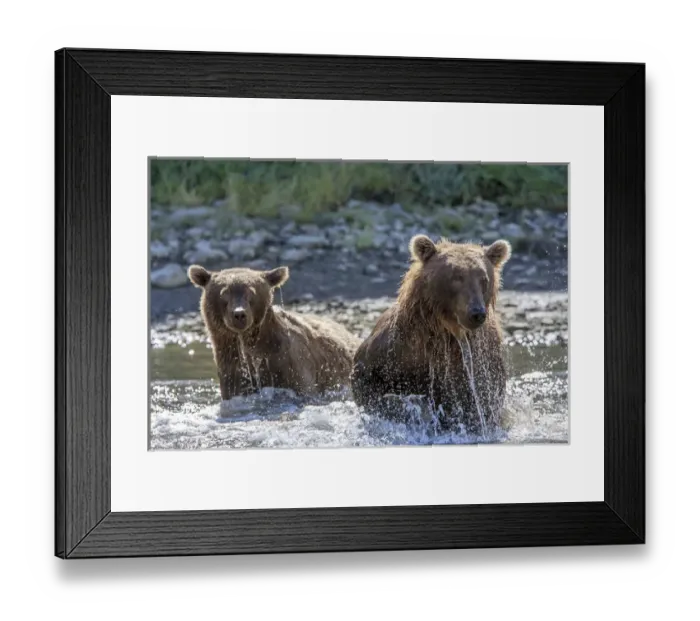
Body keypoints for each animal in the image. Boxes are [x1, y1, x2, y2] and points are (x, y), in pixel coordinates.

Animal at [350, 234, 512, 434]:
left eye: (483, 278)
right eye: (456, 276)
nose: (476, 313)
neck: (445, 332)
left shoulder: (477, 361)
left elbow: (476, 402)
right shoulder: (395, 348)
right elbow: (366, 379)